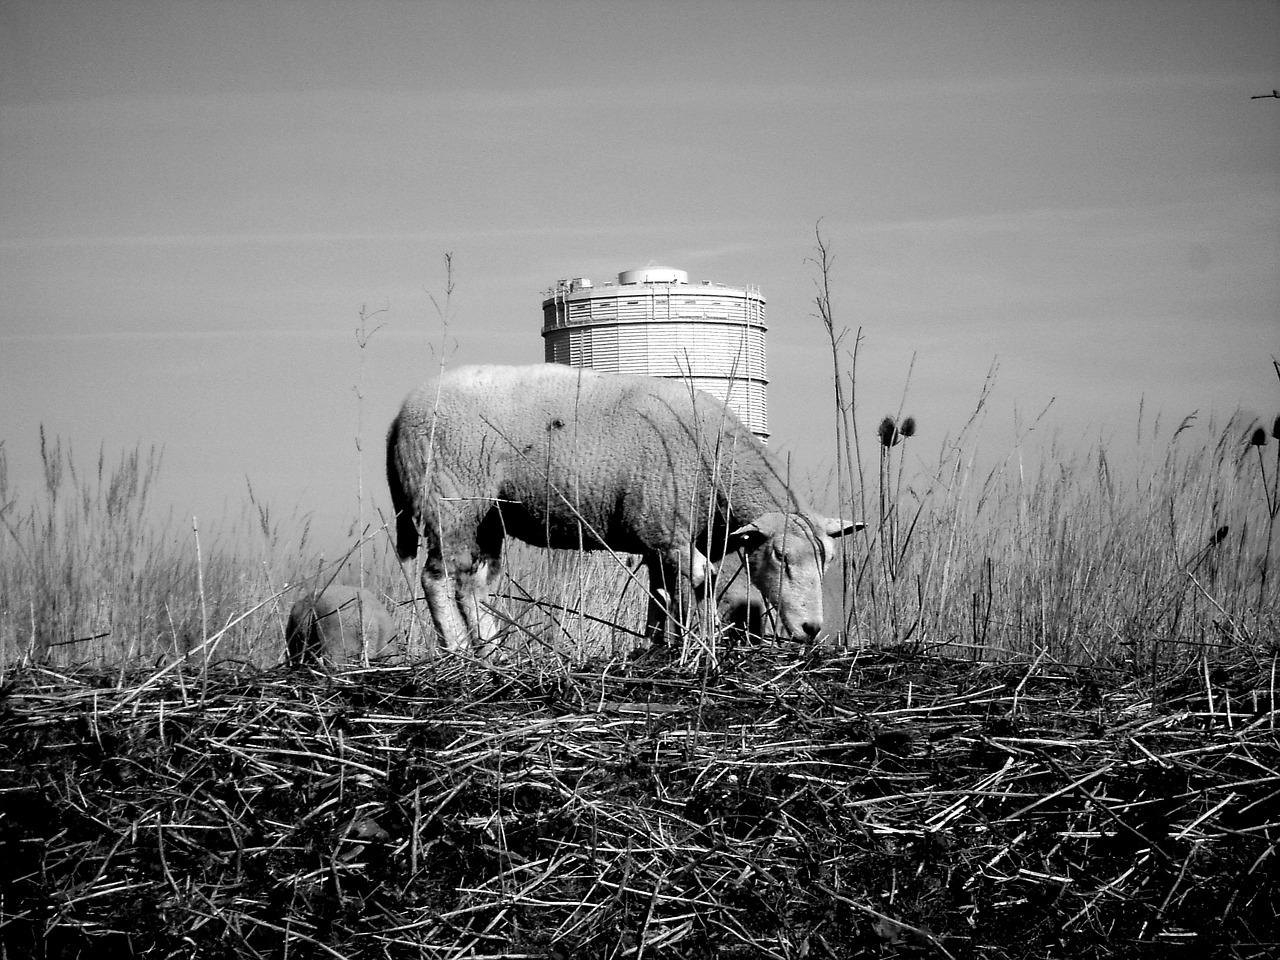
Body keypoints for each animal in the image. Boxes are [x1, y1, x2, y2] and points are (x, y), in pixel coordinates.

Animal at [384, 363, 865, 660]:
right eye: (780, 557)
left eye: (829, 560)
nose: (812, 629)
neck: (716, 462)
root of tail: (398, 417)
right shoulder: (666, 532)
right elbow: (694, 585)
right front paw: (695, 645)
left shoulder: (662, 541)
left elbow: (666, 595)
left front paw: (658, 646)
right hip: (450, 502)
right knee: (438, 577)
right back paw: (459, 650)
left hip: (490, 518)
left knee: (475, 583)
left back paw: (493, 651)